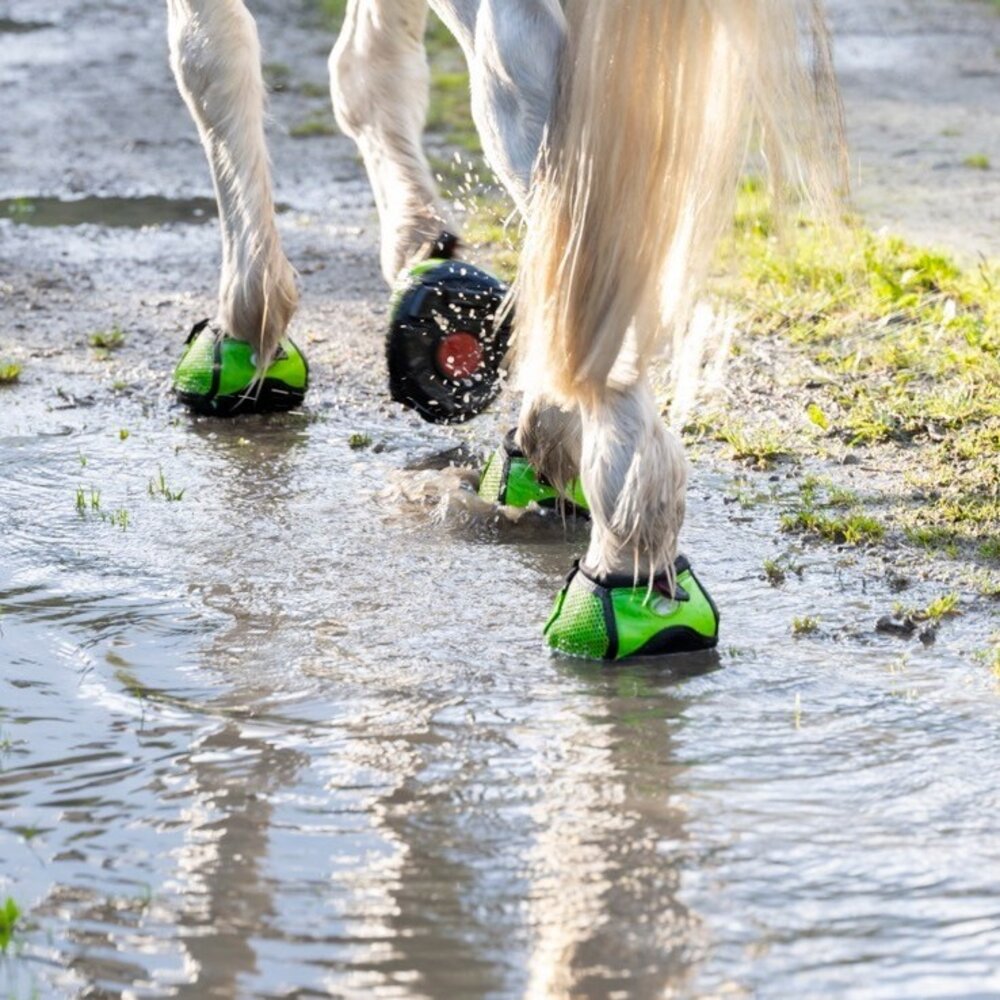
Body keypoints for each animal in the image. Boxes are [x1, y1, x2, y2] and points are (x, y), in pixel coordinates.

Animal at [165, 0, 839, 659]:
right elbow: (368, 64)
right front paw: (423, 249)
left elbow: (206, 54)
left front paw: (246, 325)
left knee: (540, 112)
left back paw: (625, 550)